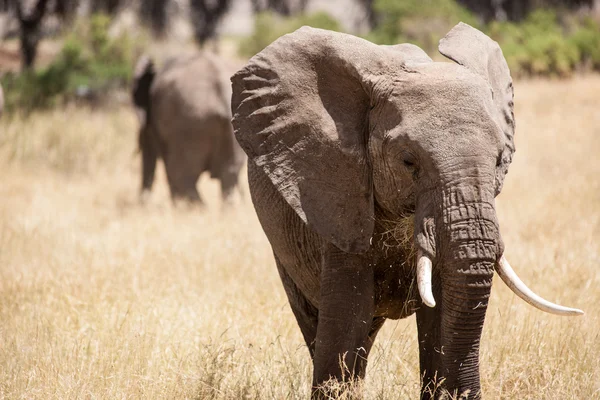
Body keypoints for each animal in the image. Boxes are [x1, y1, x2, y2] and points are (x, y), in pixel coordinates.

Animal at [230, 23, 580, 398]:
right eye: (408, 161)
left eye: (500, 159)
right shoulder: (336, 195)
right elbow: (347, 317)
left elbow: (440, 316)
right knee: (321, 323)